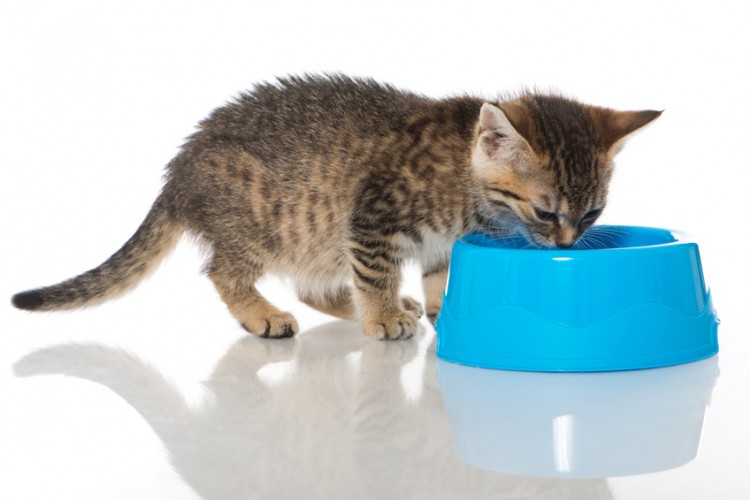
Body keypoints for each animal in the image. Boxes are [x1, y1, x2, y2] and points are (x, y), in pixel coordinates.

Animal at [10, 75, 656, 340]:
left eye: (592, 215)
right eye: (548, 214)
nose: (567, 244)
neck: (463, 179)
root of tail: (180, 169)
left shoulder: (434, 240)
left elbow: (438, 270)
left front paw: (436, 305)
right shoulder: (372, 216)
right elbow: (375, 269)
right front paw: (383, 317)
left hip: (313, 235)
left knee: (313, 284)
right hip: (265, 222)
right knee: (224, 271)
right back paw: (264, 314)